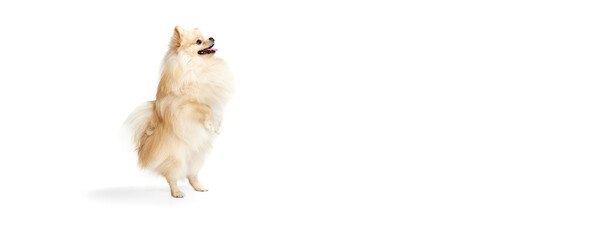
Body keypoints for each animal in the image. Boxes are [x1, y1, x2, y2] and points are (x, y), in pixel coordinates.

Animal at [125, 26, 234, 198]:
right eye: (198, 41)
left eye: (204, 37)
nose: (212, 37)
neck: (198, 66)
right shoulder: (184, 104)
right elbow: (205, 108)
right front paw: (211, 125)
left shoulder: (215, 100)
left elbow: (216, 112)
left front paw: (217, 126)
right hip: (175, 159)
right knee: (172, 177)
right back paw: (176, 192)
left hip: (196, 157)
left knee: (191, 175)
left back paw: (199, 186)